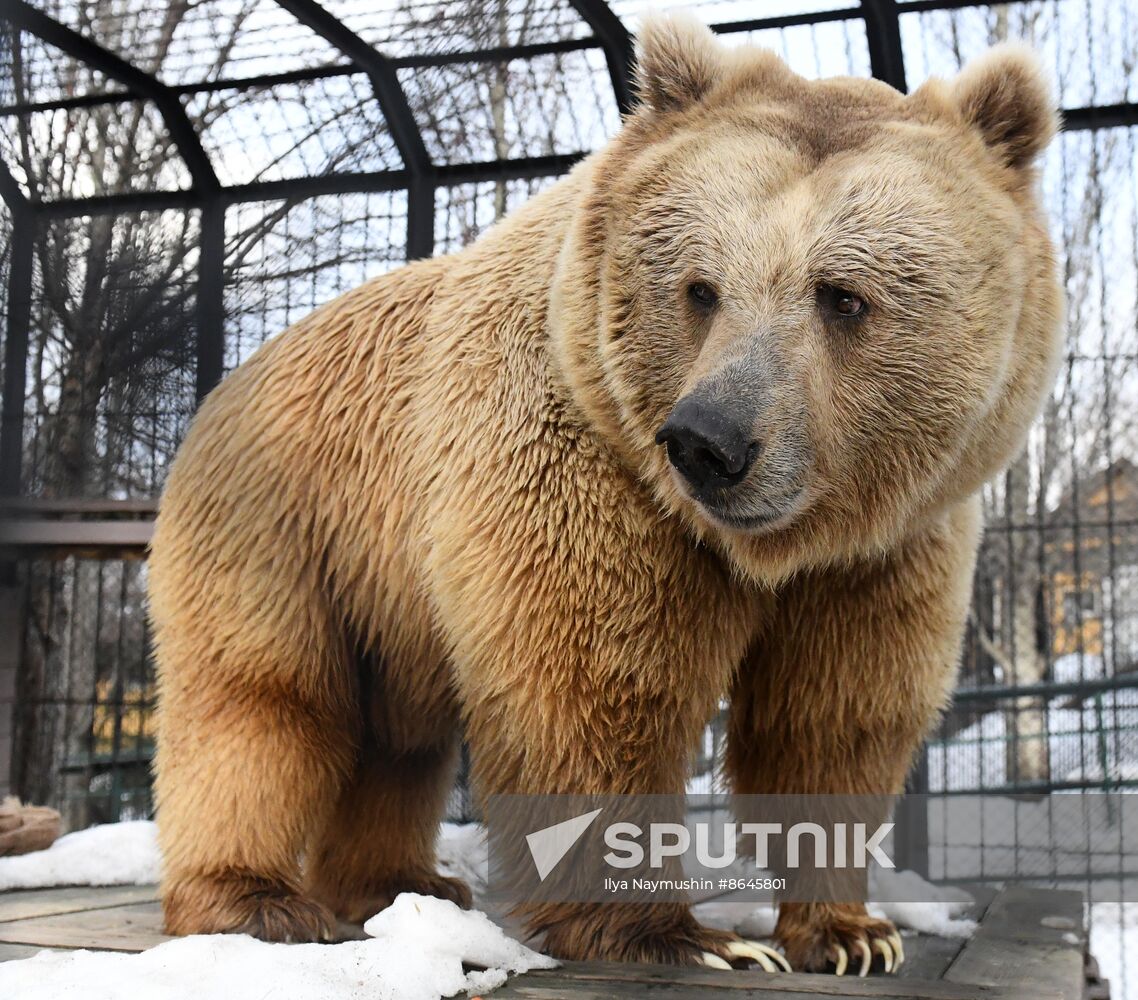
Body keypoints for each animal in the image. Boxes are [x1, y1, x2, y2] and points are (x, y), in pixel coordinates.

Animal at [146, 13, 1060, 978]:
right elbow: (598, 687)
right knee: (263, 705)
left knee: (399, 739)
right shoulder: (583, 468)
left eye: (842, 296)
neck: (771, 544)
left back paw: (403, 883)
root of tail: (224, 385)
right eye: (701, 287)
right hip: (284, 525)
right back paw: (255, 896)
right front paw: (687, 937)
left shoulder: (886, 547)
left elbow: (832, 715)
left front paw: (850, 932)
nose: (709, 442)